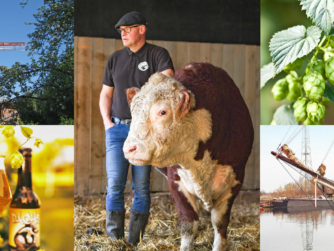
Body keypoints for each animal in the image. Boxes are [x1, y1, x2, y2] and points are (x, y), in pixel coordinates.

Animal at [122, 61, 253, 250]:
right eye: (133, 112)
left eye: (163, 112)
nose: (129, 148)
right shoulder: (176, 180)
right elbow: (188, 223)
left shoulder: (235, 179)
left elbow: (220, 222)